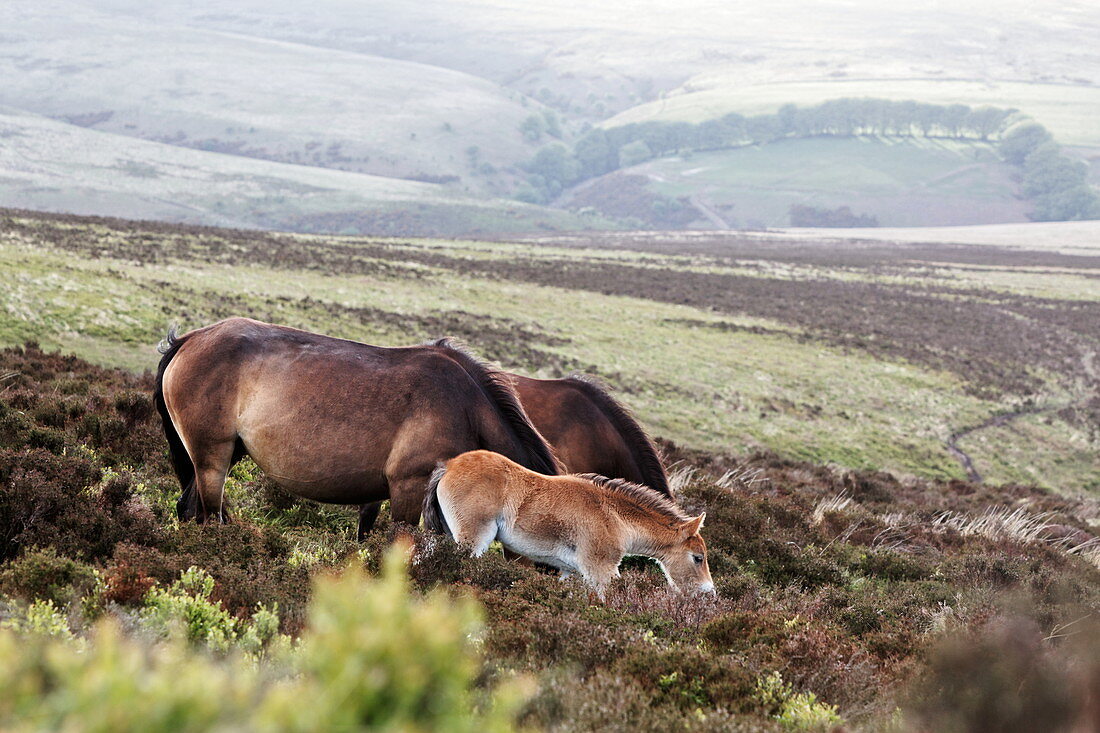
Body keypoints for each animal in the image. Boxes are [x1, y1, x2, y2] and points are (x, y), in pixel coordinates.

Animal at [152, 316, 558, 521]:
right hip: (212, 457)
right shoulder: (409, 489)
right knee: (208, 513)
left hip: (223, 454)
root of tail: (188, 340)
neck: (467, 408)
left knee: (188, 508)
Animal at [420, 444, 712, 594]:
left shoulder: (570, 572)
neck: (614, 516)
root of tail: (450, 466)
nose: (709, 593)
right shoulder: (600, 570)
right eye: (698, 557)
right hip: (474, 540)